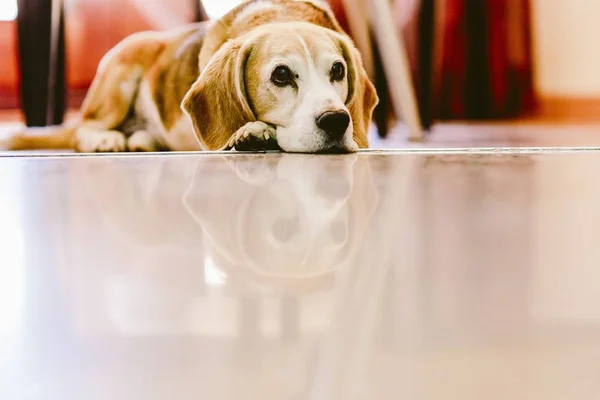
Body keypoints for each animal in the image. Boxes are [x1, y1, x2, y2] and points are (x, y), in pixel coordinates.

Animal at [4, 0, 378, 153]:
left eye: (338, 70)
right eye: (282, 74)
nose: (336, 121)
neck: (279, 14)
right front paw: (250, 133)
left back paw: (143, 140)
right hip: (122, 68)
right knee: (83, 129)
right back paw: (106, 139)